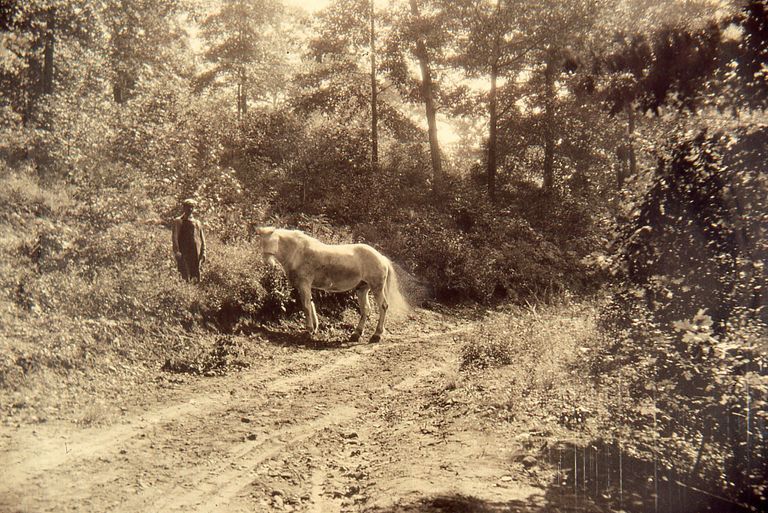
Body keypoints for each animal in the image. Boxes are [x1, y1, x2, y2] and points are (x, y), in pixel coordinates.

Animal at [255, 227, 408, 343]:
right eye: (261, 243)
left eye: (272, 241)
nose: (268, 263)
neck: (298, 252)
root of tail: (381, 257)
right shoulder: (306, 286)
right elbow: (311, 304)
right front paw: (315, 328)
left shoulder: (304, 284)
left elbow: (306, 306)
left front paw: (309, 330)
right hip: (362, 289)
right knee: (365, 310)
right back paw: (356, 334)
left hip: (377, 288)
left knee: (383, 307)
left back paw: (376, 335)